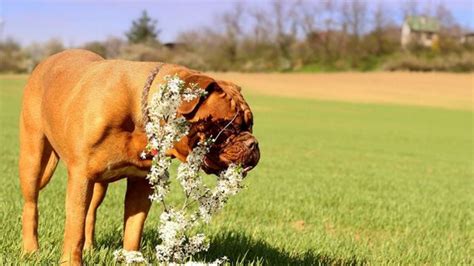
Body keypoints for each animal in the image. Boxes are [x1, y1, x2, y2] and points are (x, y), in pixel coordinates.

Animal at [19, 49, 260, 264]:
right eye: (225, 127)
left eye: (250, 124)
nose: (253, 144)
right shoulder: (80, 178)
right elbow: (74, 228)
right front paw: (71, 261)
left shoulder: (140, 183)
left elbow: (133, 229)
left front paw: (131, 259)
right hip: (33, 157)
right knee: (31, 205)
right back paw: (31, 250)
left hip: (99, 184)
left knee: (91, 212)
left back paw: (89, 247)